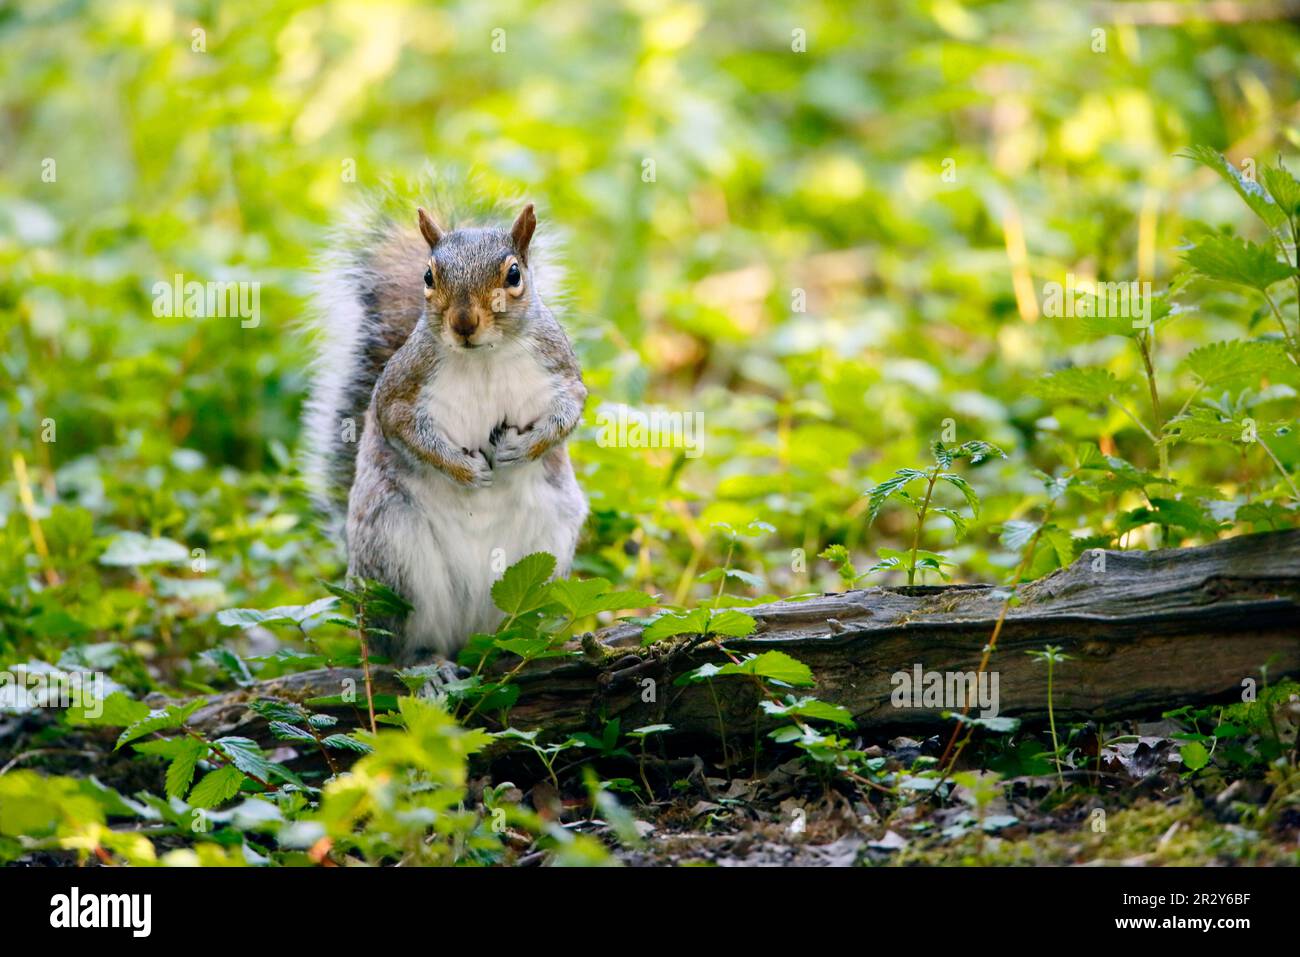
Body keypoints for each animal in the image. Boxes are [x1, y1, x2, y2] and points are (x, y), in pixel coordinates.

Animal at [301, 187, 587, 665]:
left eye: (514, 274)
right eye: (428, 276)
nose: (464, 323)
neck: (484, 356)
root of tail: (467, 634)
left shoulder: (561, 371)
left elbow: (568, 414)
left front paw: (520, 449)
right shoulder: (400, 389)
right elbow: (400, 427)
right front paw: (464, 470)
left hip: (548, 547)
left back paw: (523, 647)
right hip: (394, 554)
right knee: (401, 645)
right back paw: (428, 664)